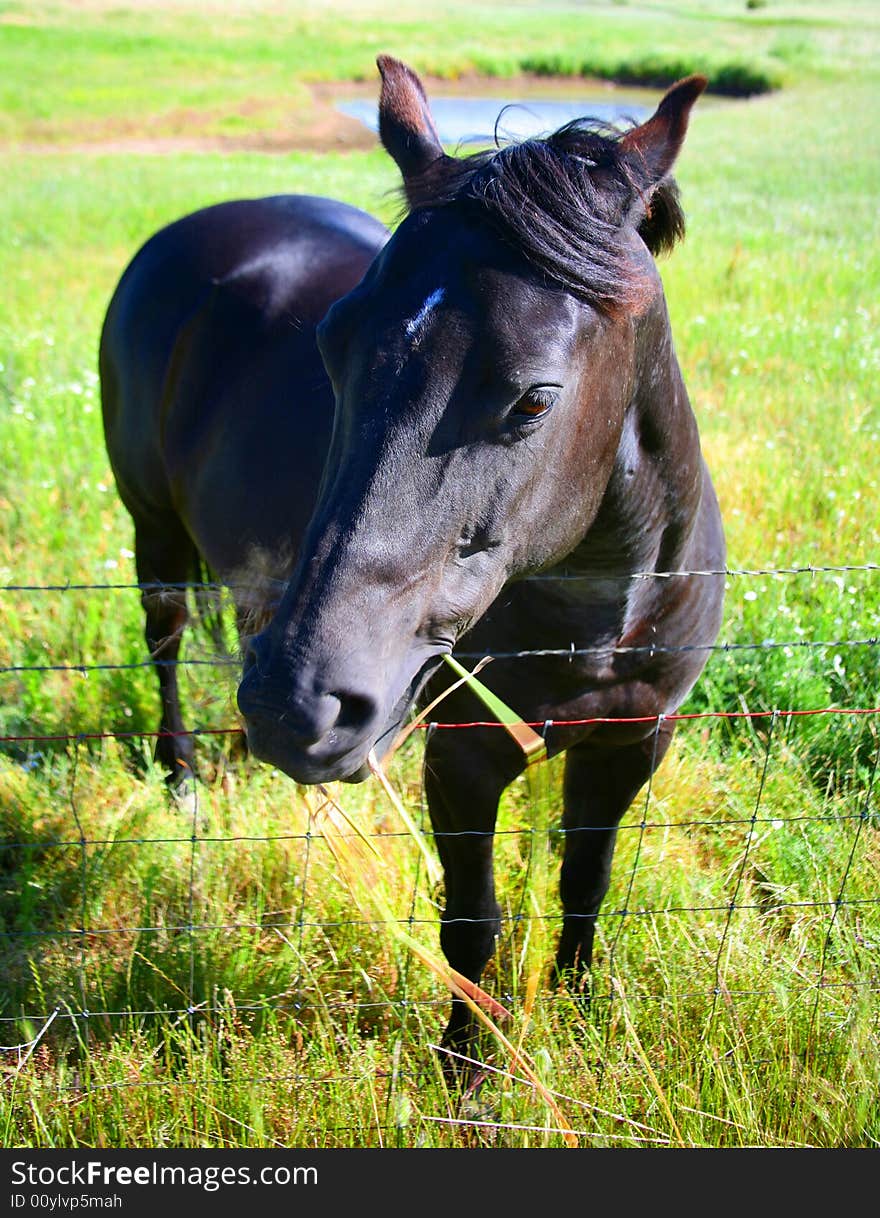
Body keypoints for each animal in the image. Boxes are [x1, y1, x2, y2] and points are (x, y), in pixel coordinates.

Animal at [101, 59, 721, 1057]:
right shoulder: (463, 757)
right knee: (164, 641)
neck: (597, 618)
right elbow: (473, 921)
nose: (296, 706)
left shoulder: (633, 739)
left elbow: (585, 885)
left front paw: (581, 1014)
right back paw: (184, 780)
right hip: (153, 528)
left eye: (536, 399)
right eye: (330, 348)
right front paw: (467, 1067)